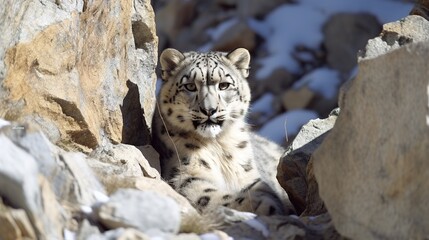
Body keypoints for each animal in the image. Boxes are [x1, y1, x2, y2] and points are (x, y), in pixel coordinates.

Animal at [150, 47, 294, 219]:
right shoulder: (186, 174)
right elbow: (208, 195)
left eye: (224, 85)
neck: (218, 145)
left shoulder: (248, 174)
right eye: (190, 86)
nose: (209, 110)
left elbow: (261, 188)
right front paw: (262, 205)